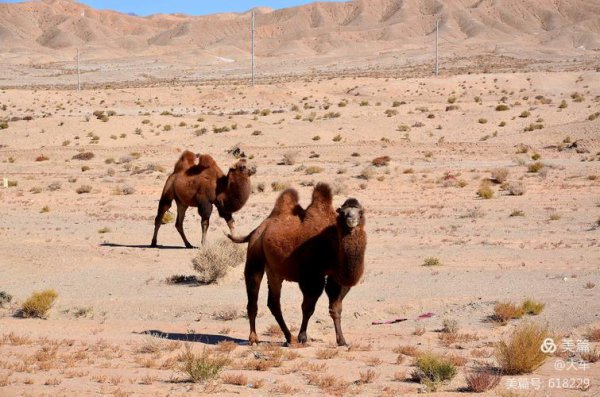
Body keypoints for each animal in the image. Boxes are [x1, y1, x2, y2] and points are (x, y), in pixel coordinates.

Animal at [227, 182, 366, 344]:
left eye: (360, 212)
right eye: (343, 213)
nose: (351, 219)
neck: (333, 241)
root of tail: (257, 229)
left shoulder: (337, 278)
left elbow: (336, 308)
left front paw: (342, 341)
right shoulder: (311, 276)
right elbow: (308, 308)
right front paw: (302, 337)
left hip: (274, 271)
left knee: (273, 303)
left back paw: (289, 337)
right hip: (255, 256)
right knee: (253, 299)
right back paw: (254, 338)